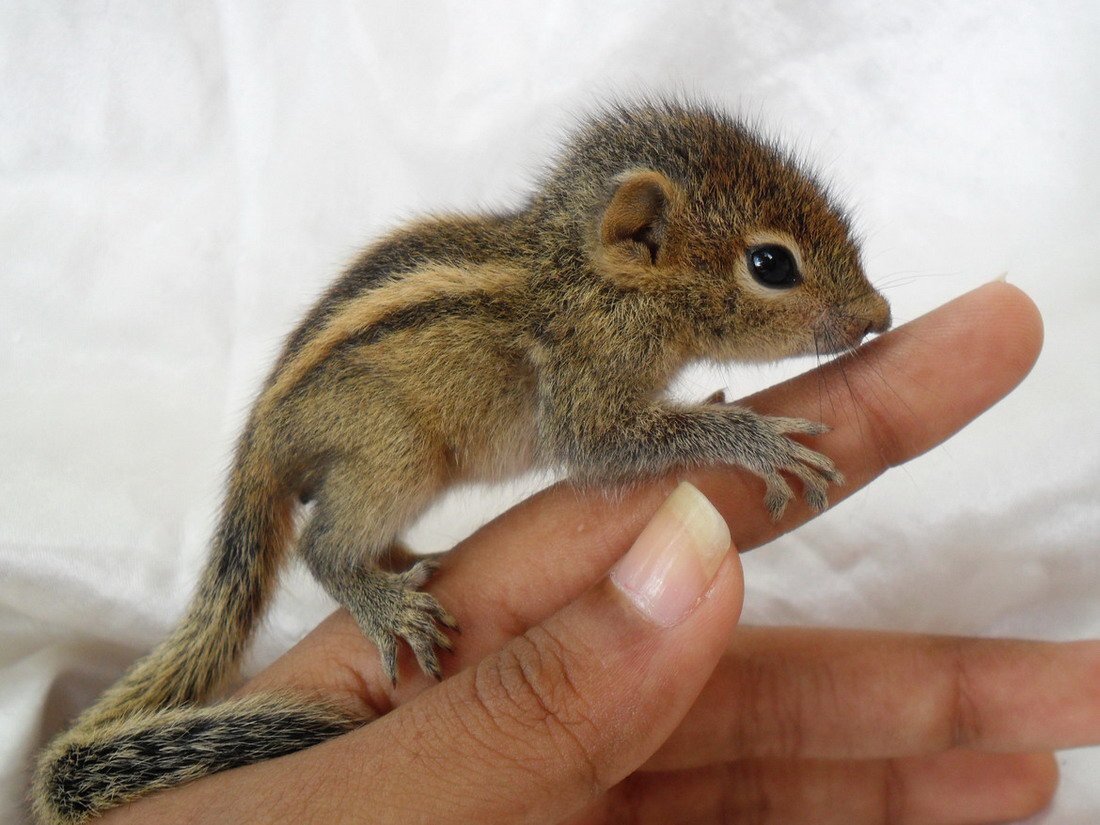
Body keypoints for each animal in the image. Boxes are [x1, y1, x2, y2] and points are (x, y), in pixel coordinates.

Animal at [32, 100, 893, 822]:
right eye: (772, 265)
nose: (880, 315)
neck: (591, 279)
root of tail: (260, 443)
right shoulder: (583, 385)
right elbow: (608, 446)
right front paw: (752, 438)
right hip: (393, 453)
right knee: (320, 544)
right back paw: (383, 600)